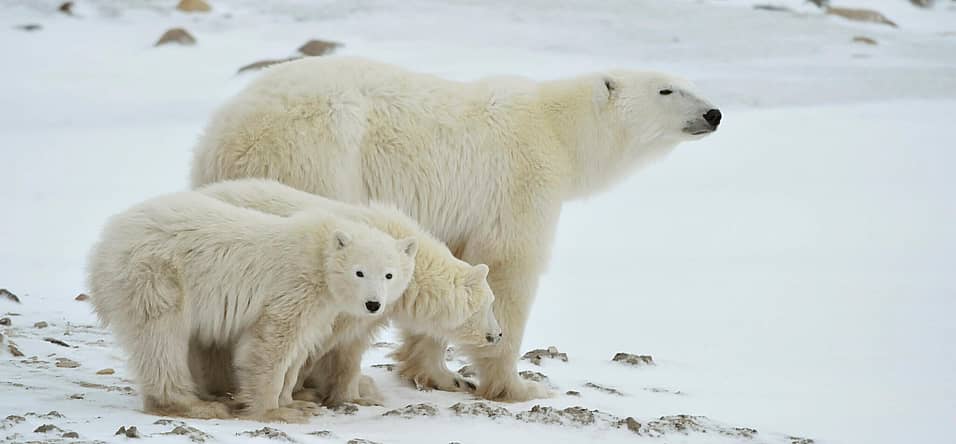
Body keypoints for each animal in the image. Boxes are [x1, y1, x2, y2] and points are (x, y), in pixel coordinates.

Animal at [88, 193, 416, 422]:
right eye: (359, 272)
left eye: (389, 274)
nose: (373, 304)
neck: (319, 253)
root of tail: (105, 242)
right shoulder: (293, 286)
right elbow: (271, 343)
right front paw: (276, 411)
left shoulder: (319, 307)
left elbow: (298, 349)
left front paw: (296, 402)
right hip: (157, 275)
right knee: (161, 339)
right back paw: (196, 406)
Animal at [196, 179, 500, 408]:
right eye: (489, 304)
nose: (497, 335)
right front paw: (299, 392)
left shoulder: (368, 309)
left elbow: (349, 349)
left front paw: (353, 396)